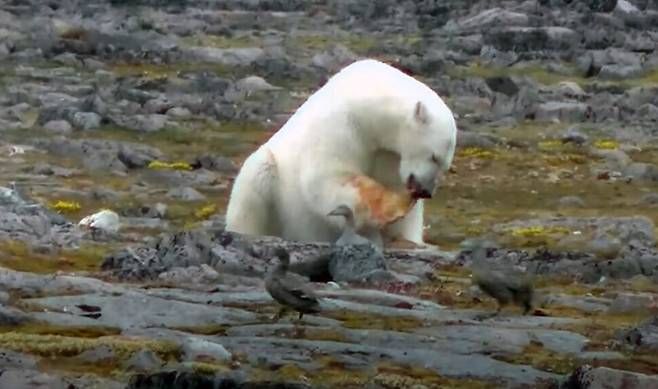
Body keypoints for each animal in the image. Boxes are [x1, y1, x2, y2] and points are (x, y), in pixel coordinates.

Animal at [226, 57, 456, 246]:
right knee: (254, 184)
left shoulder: (390, 155)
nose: (425, 191)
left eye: (445, 165)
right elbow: (329, 175)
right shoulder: (342, 124)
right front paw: (382, 208)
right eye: (434, 157)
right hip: (273, 181)